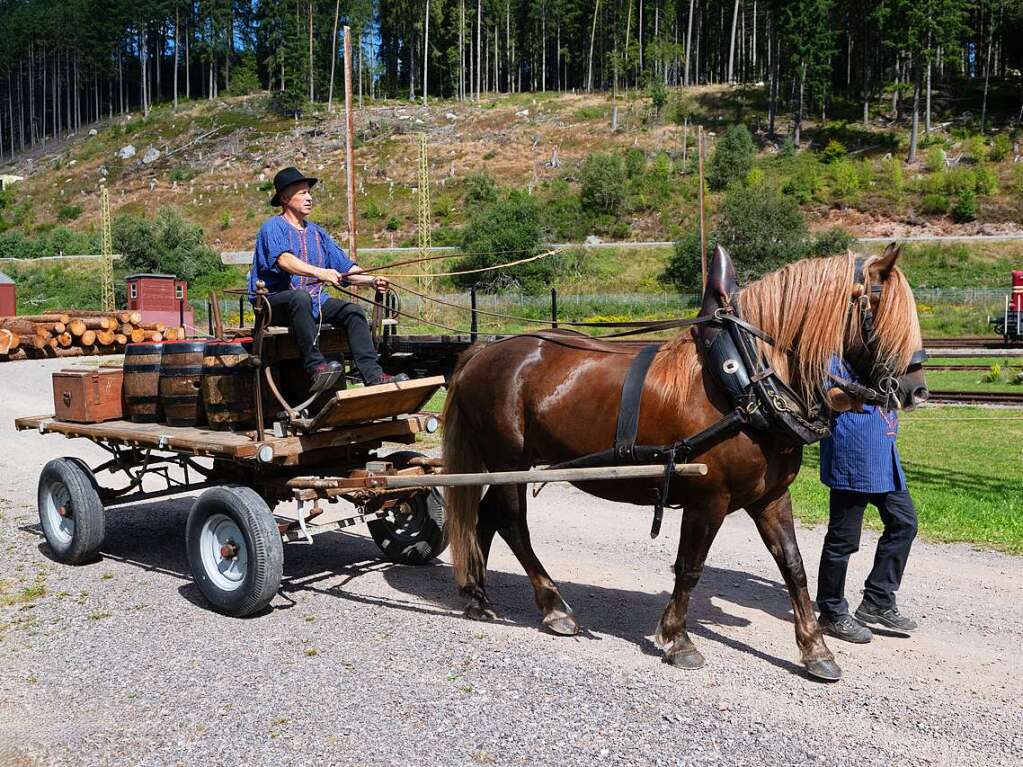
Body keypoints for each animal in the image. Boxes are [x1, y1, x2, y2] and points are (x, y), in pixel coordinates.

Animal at [441, 244, 928, 679]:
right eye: (881, 310)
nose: (915, 391)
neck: (747, 381)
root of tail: (483, 351)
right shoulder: (707, 500)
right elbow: (690, 567)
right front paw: (678, 639)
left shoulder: (771, 498)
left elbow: (794, 567)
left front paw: (815, 648)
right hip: (509, 461)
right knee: (512, 523)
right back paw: (553, 607)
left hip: (508, 464)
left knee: (485, 516)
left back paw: (477, 596)